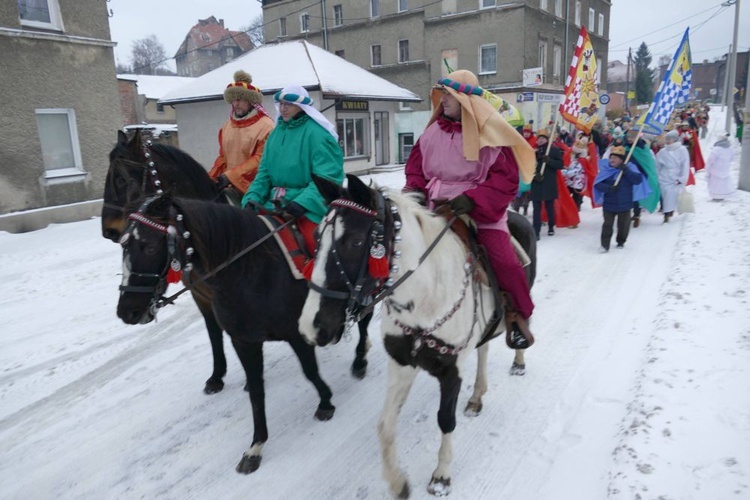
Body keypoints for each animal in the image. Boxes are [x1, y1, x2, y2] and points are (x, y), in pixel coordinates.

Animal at [118, 194, 352, 472]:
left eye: (150, 247)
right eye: (123, 246)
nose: (127, 311)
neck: (252, 271)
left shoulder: (298, 334)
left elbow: (310, 372)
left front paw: (325, 401)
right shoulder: (243, 340)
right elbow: (256, 389)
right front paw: (256, 445)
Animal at [298, 174, 536, 494]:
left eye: (356, 240)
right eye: (317, 237)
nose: (312, 326)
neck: (426, 296)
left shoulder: (451, 370)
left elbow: (445, 420)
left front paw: (441, 477)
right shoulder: (402, 363)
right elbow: (385, 425)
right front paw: (397, 481)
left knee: (523, 319)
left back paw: (519, 359)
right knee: (484, 348)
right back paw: (476, 397)